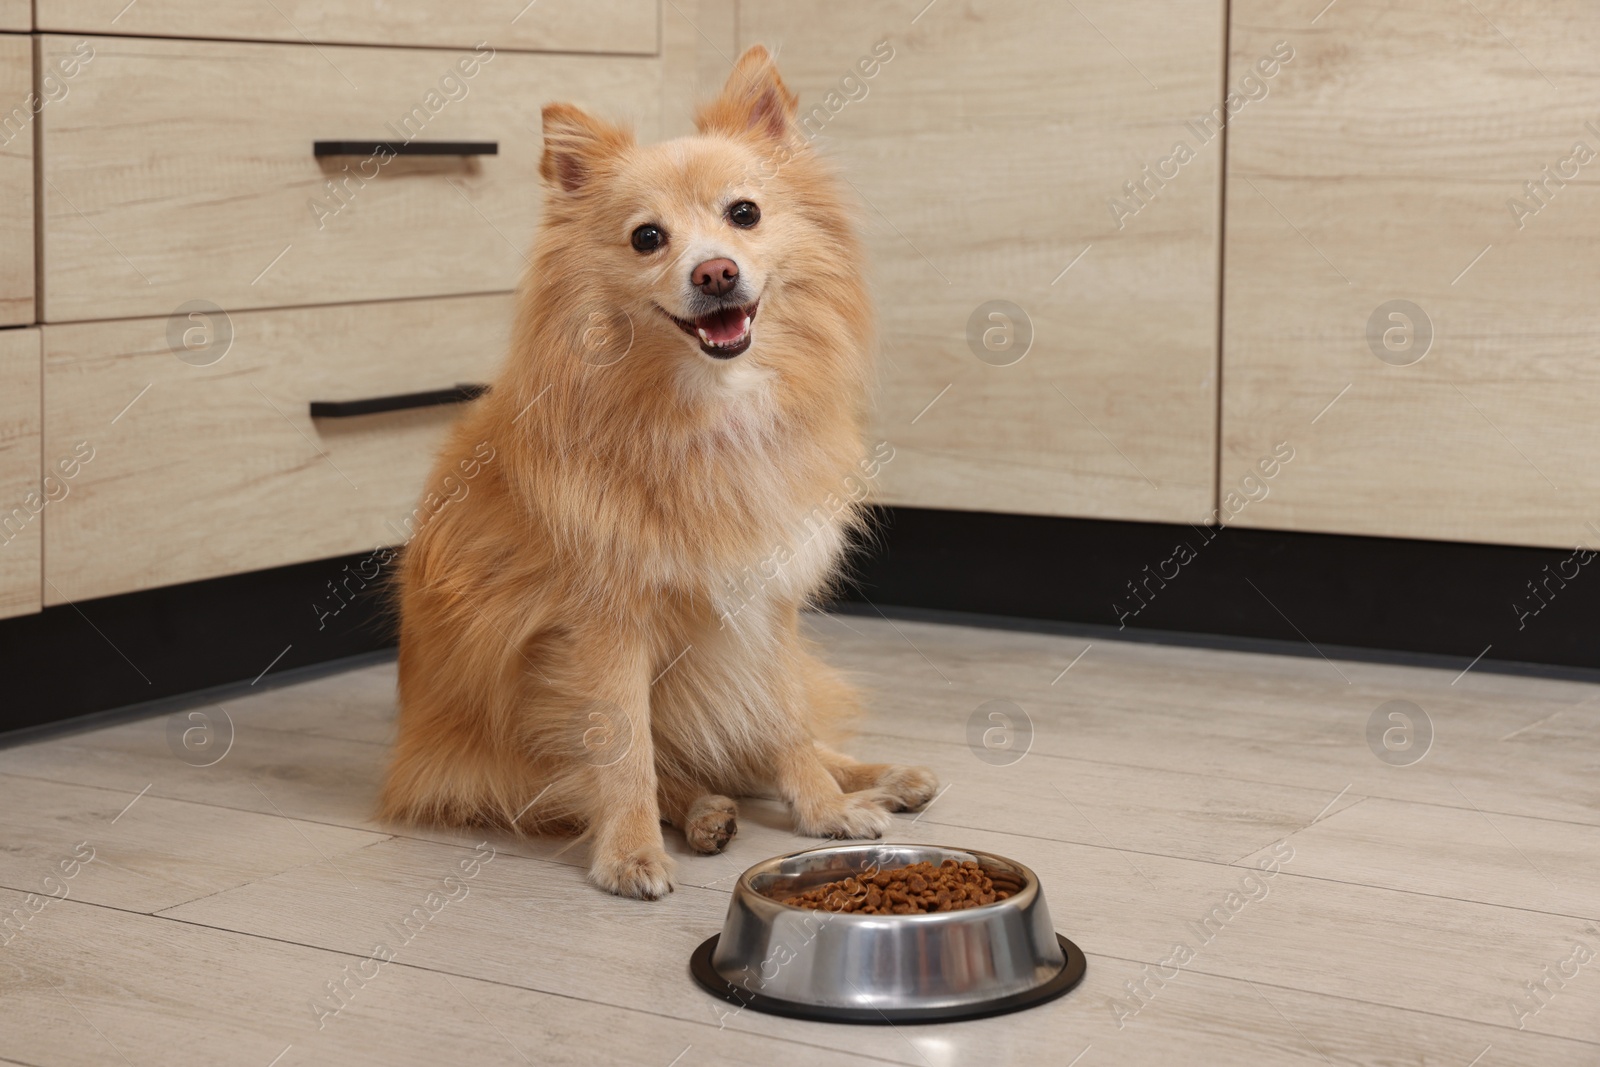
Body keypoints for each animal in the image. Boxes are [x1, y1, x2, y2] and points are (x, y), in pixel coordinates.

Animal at [379, 47, 934, 902]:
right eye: (647, 238)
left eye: (745, 214)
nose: (715, 273)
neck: (708, 409)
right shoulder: (606, 629)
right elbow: (625, 751)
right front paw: (631, 851)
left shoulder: (767, 603)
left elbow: (788, 721)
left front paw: (822, 809)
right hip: (496, 752)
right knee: (644, 770)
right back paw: (701, 810)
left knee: (771, 739)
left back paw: (877, 776)